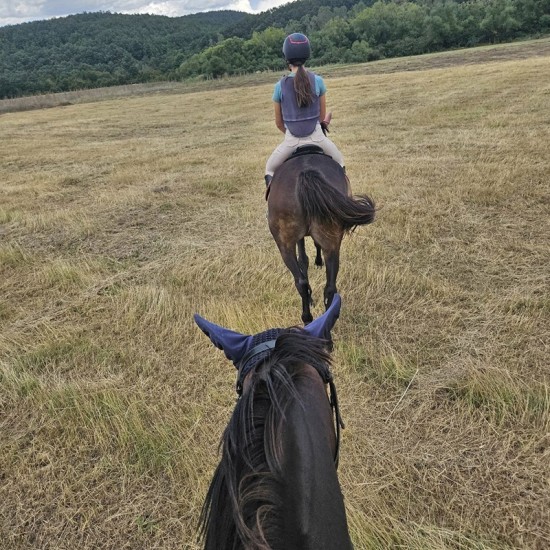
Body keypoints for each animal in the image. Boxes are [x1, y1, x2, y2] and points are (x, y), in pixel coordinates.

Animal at [266, 149, 376, 326]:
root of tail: (306, 173)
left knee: (302, 282)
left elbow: (303, 258)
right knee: (326, 286)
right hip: (328, 244)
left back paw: (309, 319)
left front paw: (317, 262)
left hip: (286, 245)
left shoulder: (300, 238)